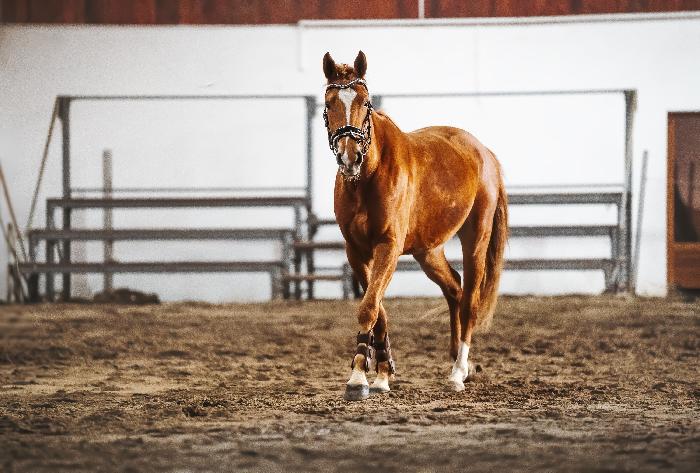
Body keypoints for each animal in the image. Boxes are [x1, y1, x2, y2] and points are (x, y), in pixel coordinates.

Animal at [323, 51, 508, 401]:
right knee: (454, 289)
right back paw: (458, 361)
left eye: (366, 103)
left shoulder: (388, 247)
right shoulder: (356, 251)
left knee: (470, 300)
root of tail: (485, 153)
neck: (367, 178)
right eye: (329, 104)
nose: (349, 158)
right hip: (428, 251)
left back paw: (458, 372)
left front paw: (357, 379)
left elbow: (369, 308)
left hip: (475, 238)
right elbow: (378, 310)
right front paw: (381, 374)